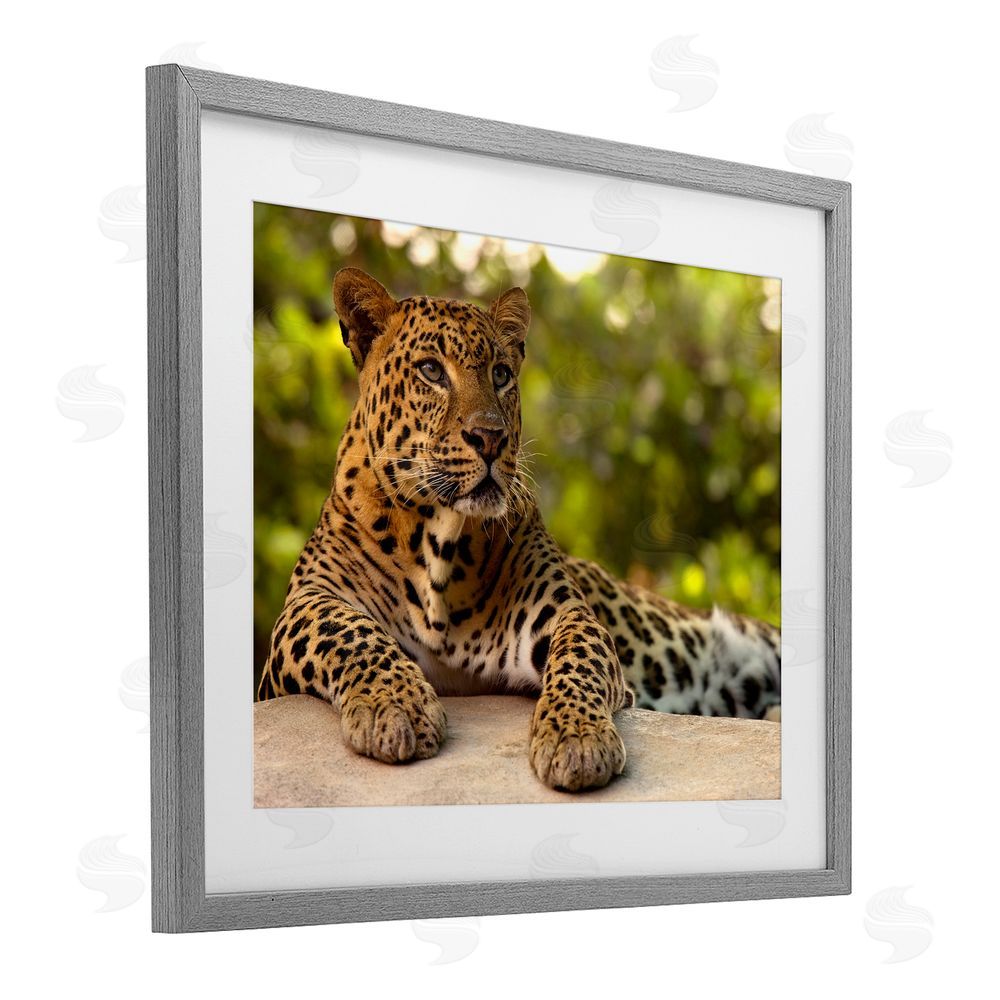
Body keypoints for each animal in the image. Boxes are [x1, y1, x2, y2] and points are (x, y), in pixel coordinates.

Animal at [257, 267, 781, 792]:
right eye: (431, 371)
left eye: (501, 374)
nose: (491, 437)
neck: (439, 541)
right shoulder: (303, 608)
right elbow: (348, 632)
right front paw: (396, 706)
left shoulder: (564, 613)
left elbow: (579, 656)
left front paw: (577, 738)